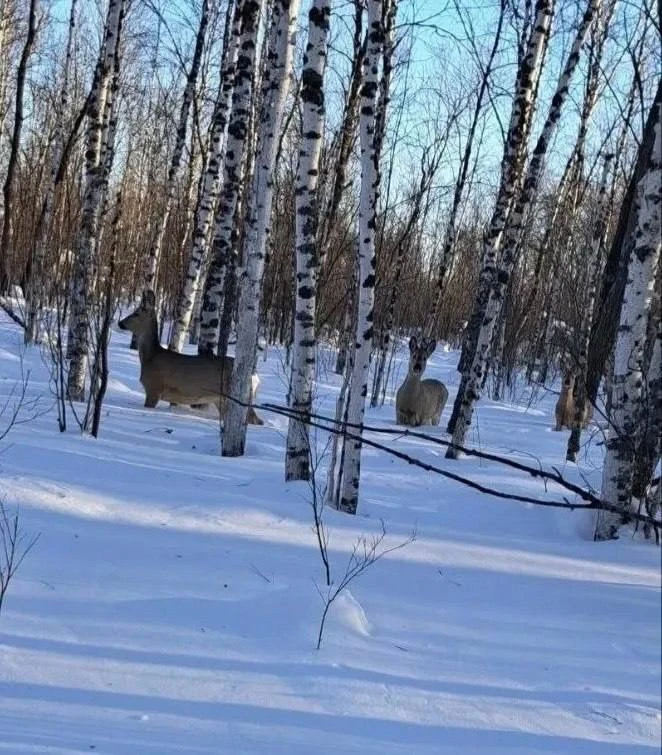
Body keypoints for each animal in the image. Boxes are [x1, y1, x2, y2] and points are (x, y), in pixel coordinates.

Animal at [118, 290, 263, 425]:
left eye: (136, 314)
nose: (120, 323)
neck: (150, 357)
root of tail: (255, 376)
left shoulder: (154, 387)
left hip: (241, 397)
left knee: (255, 420)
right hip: (221, 400)